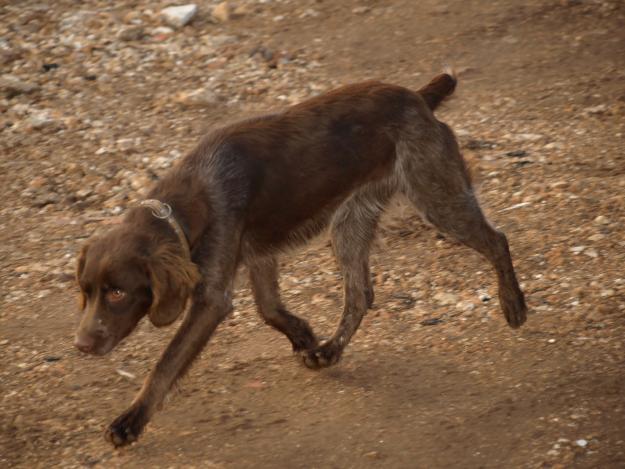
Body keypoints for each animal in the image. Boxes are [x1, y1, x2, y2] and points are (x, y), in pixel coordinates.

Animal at [74, 72, 528, 446]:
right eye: (86, 292)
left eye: (117, 292)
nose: (81, 345)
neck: (189, 200)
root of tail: (418, 98)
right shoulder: (257, 255)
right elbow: (269, 309)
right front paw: (304, 336)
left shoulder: (212, 297)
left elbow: (166, 364)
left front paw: (130, 421)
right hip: (350, 224)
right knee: (360, 295)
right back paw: (329, 352)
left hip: (436, 196)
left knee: (497, 240)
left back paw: (514, 305)